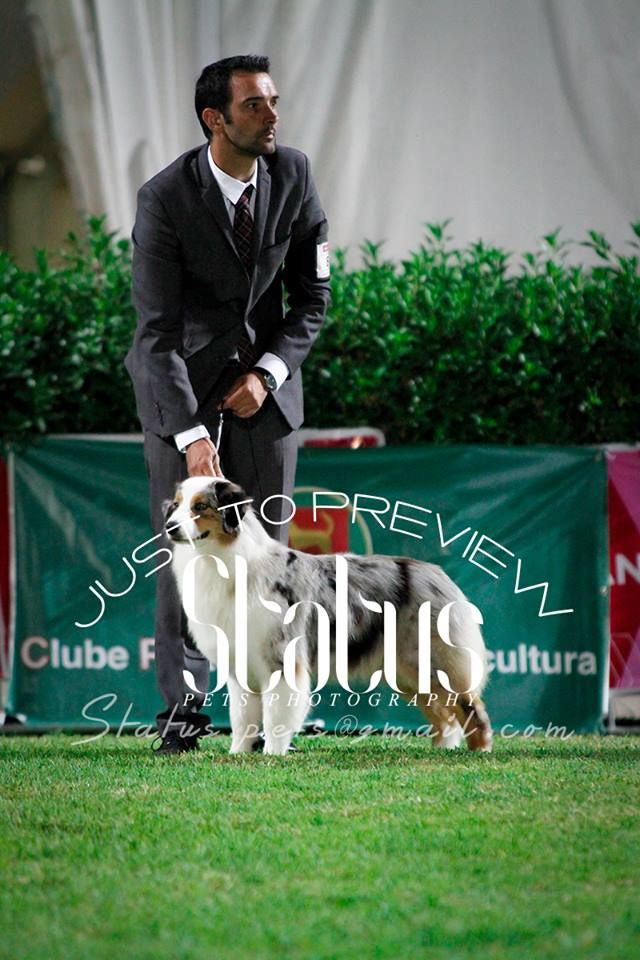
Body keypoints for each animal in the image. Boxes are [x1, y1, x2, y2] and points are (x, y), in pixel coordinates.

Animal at [165, 476, 492, 755]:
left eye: (200, 506)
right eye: (176, 504)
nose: (169, 526)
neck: (222, 558)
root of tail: (438, 574)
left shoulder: (281, 660)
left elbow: (276, 715)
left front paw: (272, 755)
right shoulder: (239, 663)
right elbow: (243, 717)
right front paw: (238, 755)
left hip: (433, 659)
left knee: (469, 707)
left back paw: (479, 752)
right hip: (406, 671)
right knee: (444, 715)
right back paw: (443, 749)